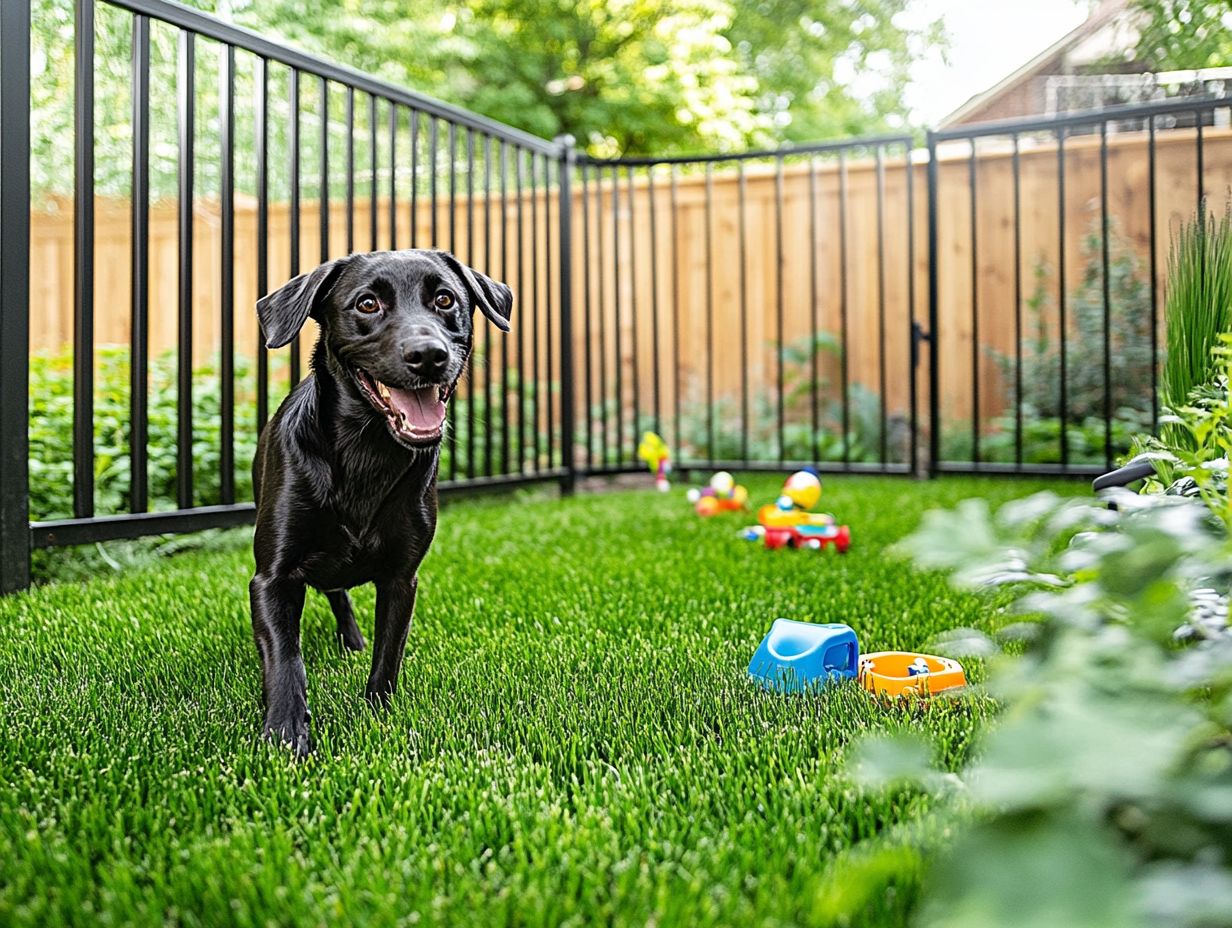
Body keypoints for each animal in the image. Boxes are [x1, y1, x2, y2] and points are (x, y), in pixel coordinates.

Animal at [250, 246, 510, 754]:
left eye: (445, 299)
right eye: (367, 304)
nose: (428, 355)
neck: (368, 451)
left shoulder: (401, 578)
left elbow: (388, 655)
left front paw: (378, 717)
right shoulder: (271, 578)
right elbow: (286, 659)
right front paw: (287, 735)